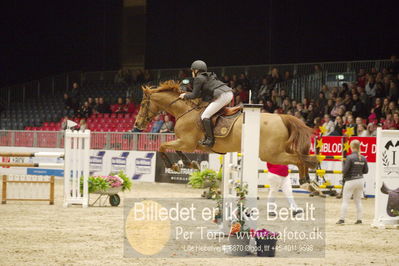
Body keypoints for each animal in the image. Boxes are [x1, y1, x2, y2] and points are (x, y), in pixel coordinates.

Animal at [135, 80, 318, 182]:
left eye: (143, 104)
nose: (137, 124)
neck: (184, 111)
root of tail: (282, 117)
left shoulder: (187, 142)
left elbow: (163, 147)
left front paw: (173, 166)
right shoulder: (186, 143)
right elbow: (176, 150)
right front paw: (190, 164)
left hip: (271, 154)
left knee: (299, 159)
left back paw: (307, 181)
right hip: (280, 150)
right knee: (303, 158)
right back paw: (307, 179)